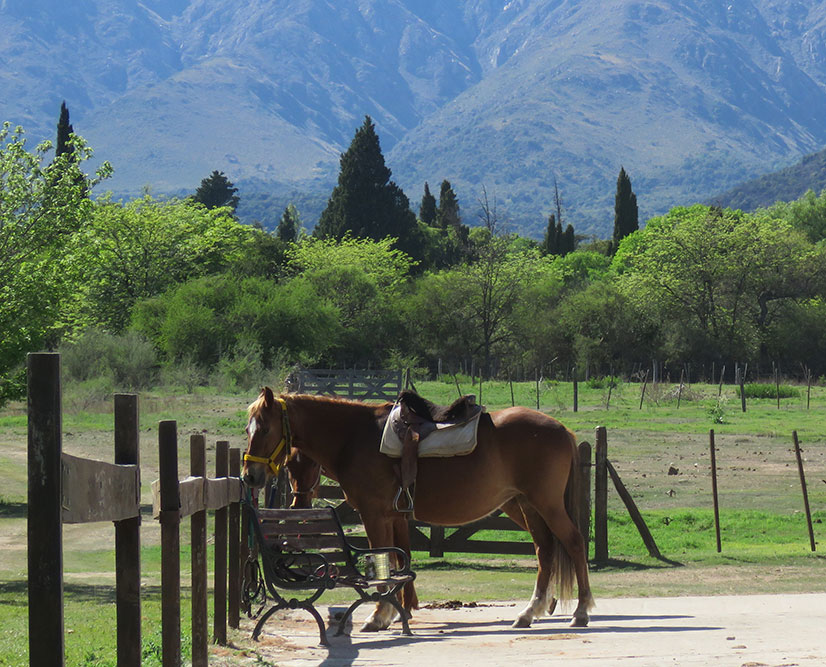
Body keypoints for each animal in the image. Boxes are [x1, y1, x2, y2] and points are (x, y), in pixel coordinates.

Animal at [240, 388, 592, 636]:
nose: (250, 476)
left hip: (545, 504)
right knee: (545, 550)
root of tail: (562, 429)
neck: (355, 437)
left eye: (265, 429)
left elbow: (382, 562)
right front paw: (401, 610)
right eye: (247, 429)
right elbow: (400, 559)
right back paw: (530, 612)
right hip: (525, 506)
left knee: (573, 543)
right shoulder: (395, 516)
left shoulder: (375, 515)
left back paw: (581, 611)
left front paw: (379, 615)